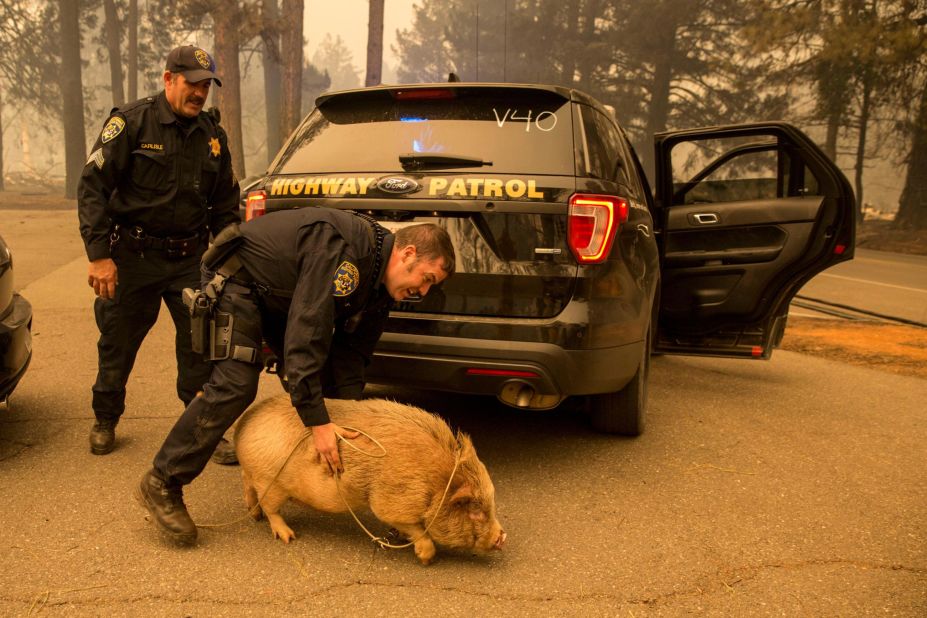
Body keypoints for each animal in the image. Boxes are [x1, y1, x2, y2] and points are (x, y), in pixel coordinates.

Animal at [232, 394, 508, 564]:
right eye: (475, 509)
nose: (502, 537)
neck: (436, 482)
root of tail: (244, 425)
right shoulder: (390, 502)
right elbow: (416, 530)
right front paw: (427, 559)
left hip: (257, 476)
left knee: (247, 486)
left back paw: (254, 515)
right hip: (270, 481)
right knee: (271, 509)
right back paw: (288, 536)